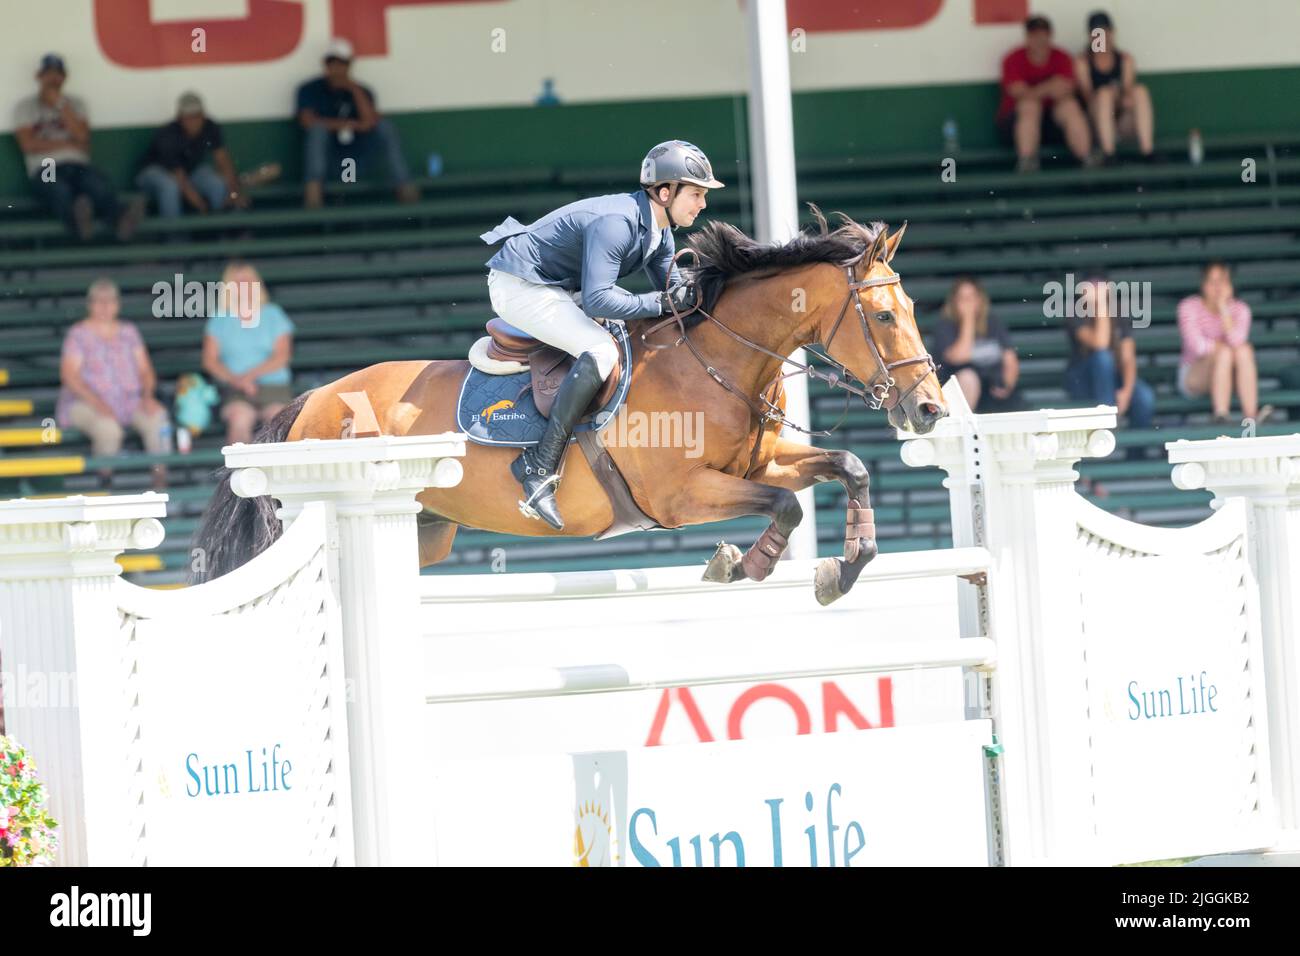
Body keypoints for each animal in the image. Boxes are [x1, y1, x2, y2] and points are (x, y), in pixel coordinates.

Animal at [189, 209, 946, 606]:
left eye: (911, 306)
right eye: (883, 316)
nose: (930, 411)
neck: (715, 361)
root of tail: (311, 401)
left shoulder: (761, 464)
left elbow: (847, 466)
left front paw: (841, 569)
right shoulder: (681, 496)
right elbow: (785, 507)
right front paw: (737, 566)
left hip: (426, 531)